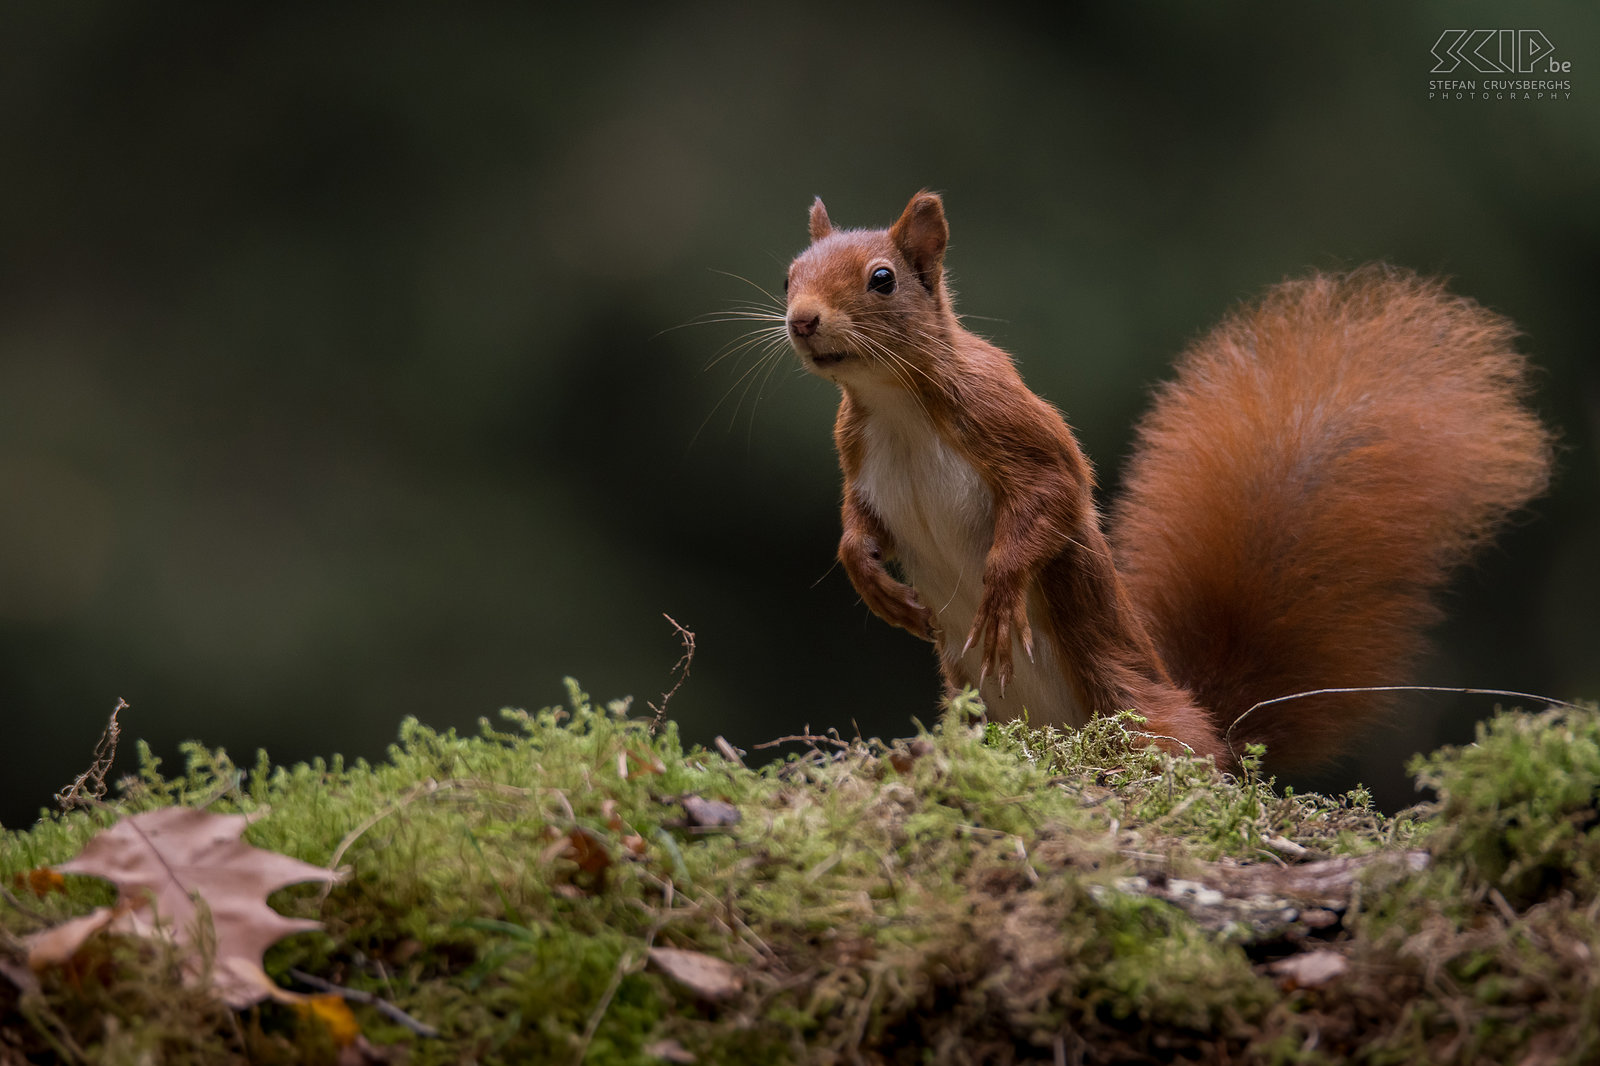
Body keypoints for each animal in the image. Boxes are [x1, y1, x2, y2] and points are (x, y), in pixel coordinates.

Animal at [780, 191, 1555, 768]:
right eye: (790, 273)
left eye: (882, 278)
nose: (801, 320)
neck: (894, 402)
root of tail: (1217, 730)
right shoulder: (859, 453)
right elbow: (860, 524)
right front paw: (872, 580)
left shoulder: (1006, 421)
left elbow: (1054, 495)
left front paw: (999, 592)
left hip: (1132, 709)